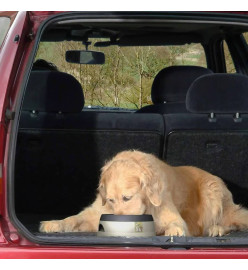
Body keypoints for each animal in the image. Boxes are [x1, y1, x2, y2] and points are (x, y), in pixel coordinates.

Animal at [39, 150, 248, 236]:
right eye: (111, 200)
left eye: (127, 198)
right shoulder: (95, 213)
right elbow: (73, 219)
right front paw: (54, 223)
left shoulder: (172, 215)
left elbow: (175, 225)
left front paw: (172, 231)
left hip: (212, 193)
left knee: (233, 222)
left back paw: (216, 229)